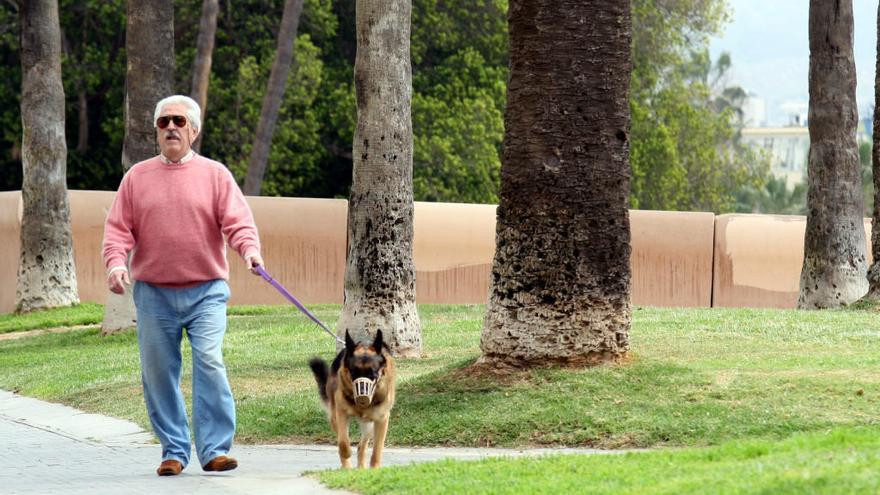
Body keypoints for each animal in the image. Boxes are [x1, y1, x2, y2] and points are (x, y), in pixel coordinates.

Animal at [306, 330, 396, 468]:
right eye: (354, 372)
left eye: (373, 373)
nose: (363, 396)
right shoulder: (341, 414)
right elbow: (343, 442)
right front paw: (347, 453)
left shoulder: (382, 419)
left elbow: (377, 450)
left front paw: (375, 468)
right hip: (335, 418)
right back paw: (347, 467)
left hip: (369, 426)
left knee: (361, 446)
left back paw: (361, 467)